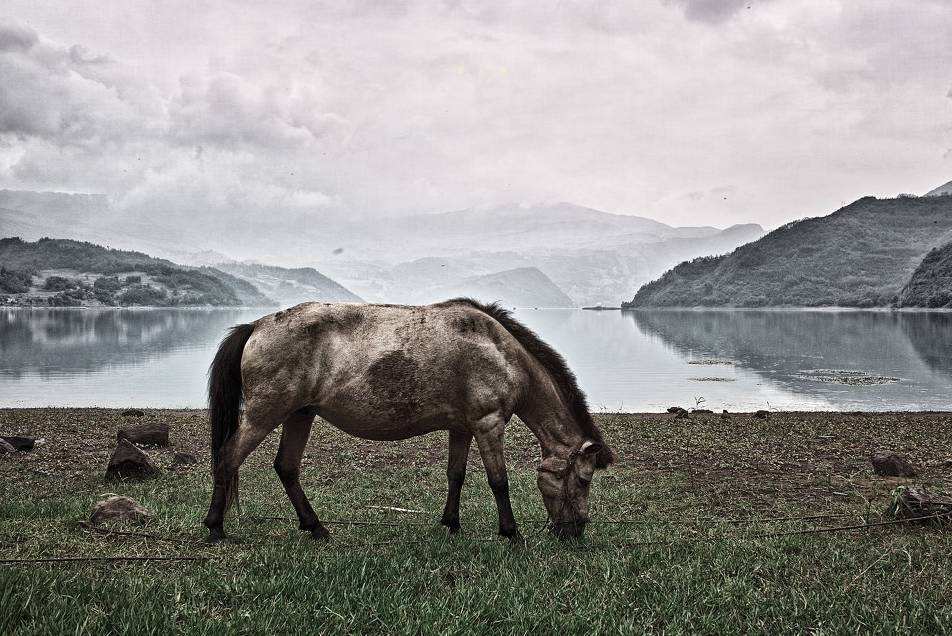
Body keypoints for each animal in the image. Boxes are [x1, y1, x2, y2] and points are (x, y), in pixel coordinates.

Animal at [204, 298, 612, 540]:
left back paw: (315, 527)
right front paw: (510, 532)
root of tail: (255, 326)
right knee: (227, 459)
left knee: (286, 468)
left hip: (299, 415)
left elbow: (456, 475)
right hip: (265, 414)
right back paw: (215, 527)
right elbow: (499, 481)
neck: (501, 352)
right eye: (583, 480)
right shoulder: (488, 423)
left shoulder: (462, 427)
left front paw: (450, 523)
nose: (576, 530)